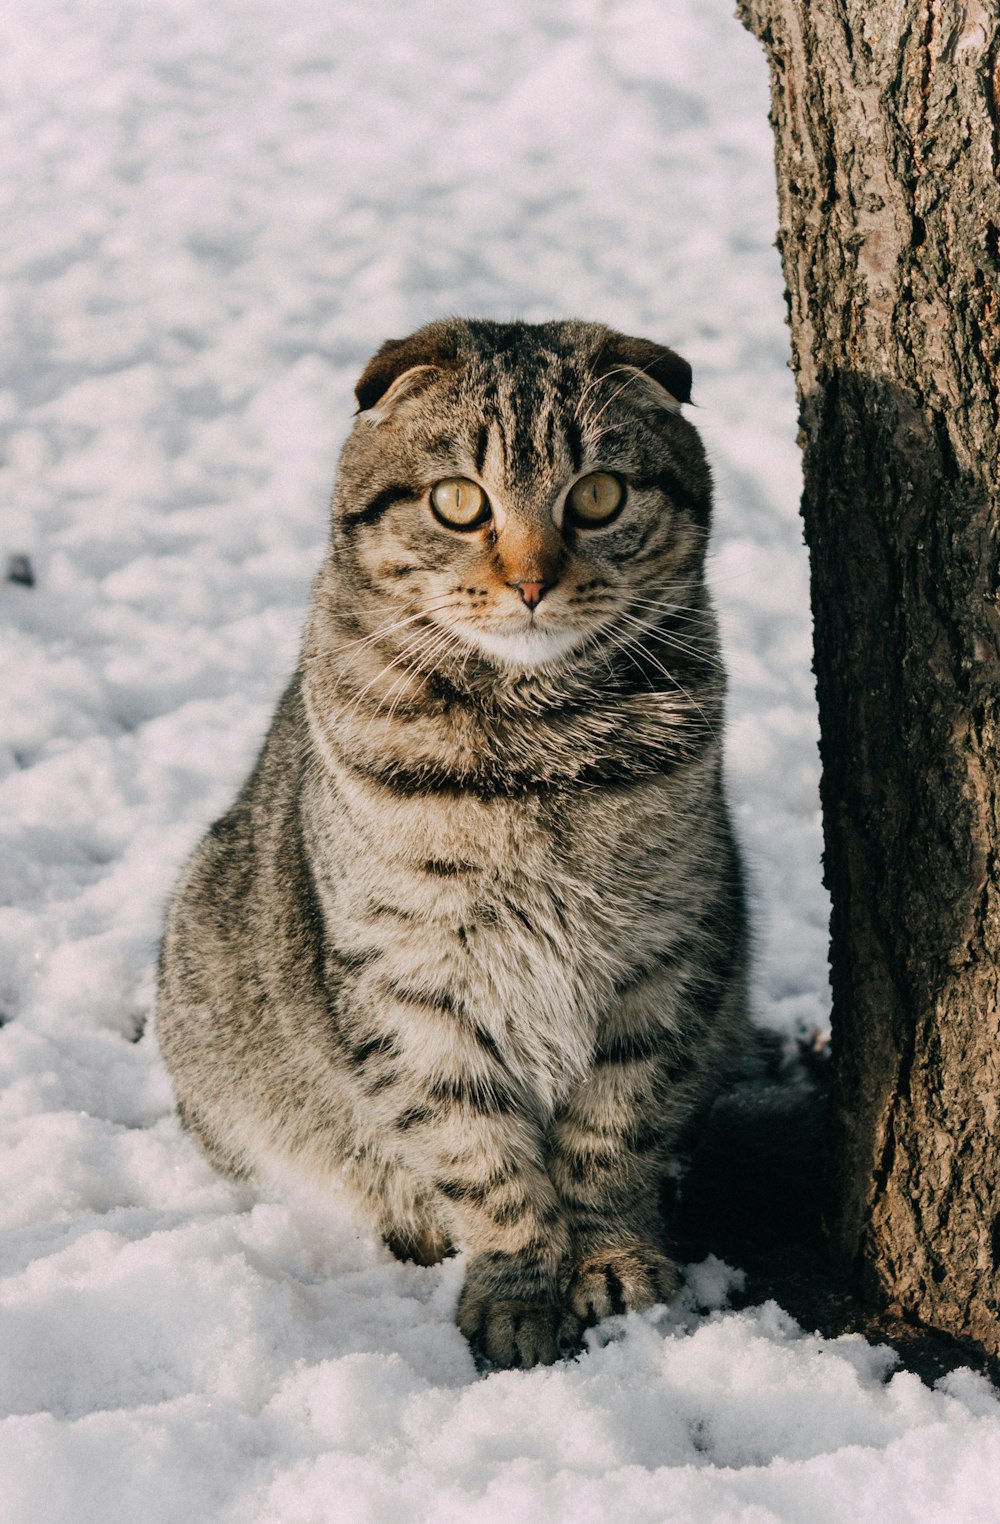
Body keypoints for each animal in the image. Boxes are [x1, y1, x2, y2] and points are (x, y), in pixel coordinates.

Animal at [156, 318, 750, 1371]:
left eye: (598, 495)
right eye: (459, 501)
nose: (532, 582)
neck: (540, 744)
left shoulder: (666, 956)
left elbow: (614, 1130)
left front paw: (613, 1257)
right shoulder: (414, 983)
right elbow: (480, 1155)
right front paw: (517, 1288)